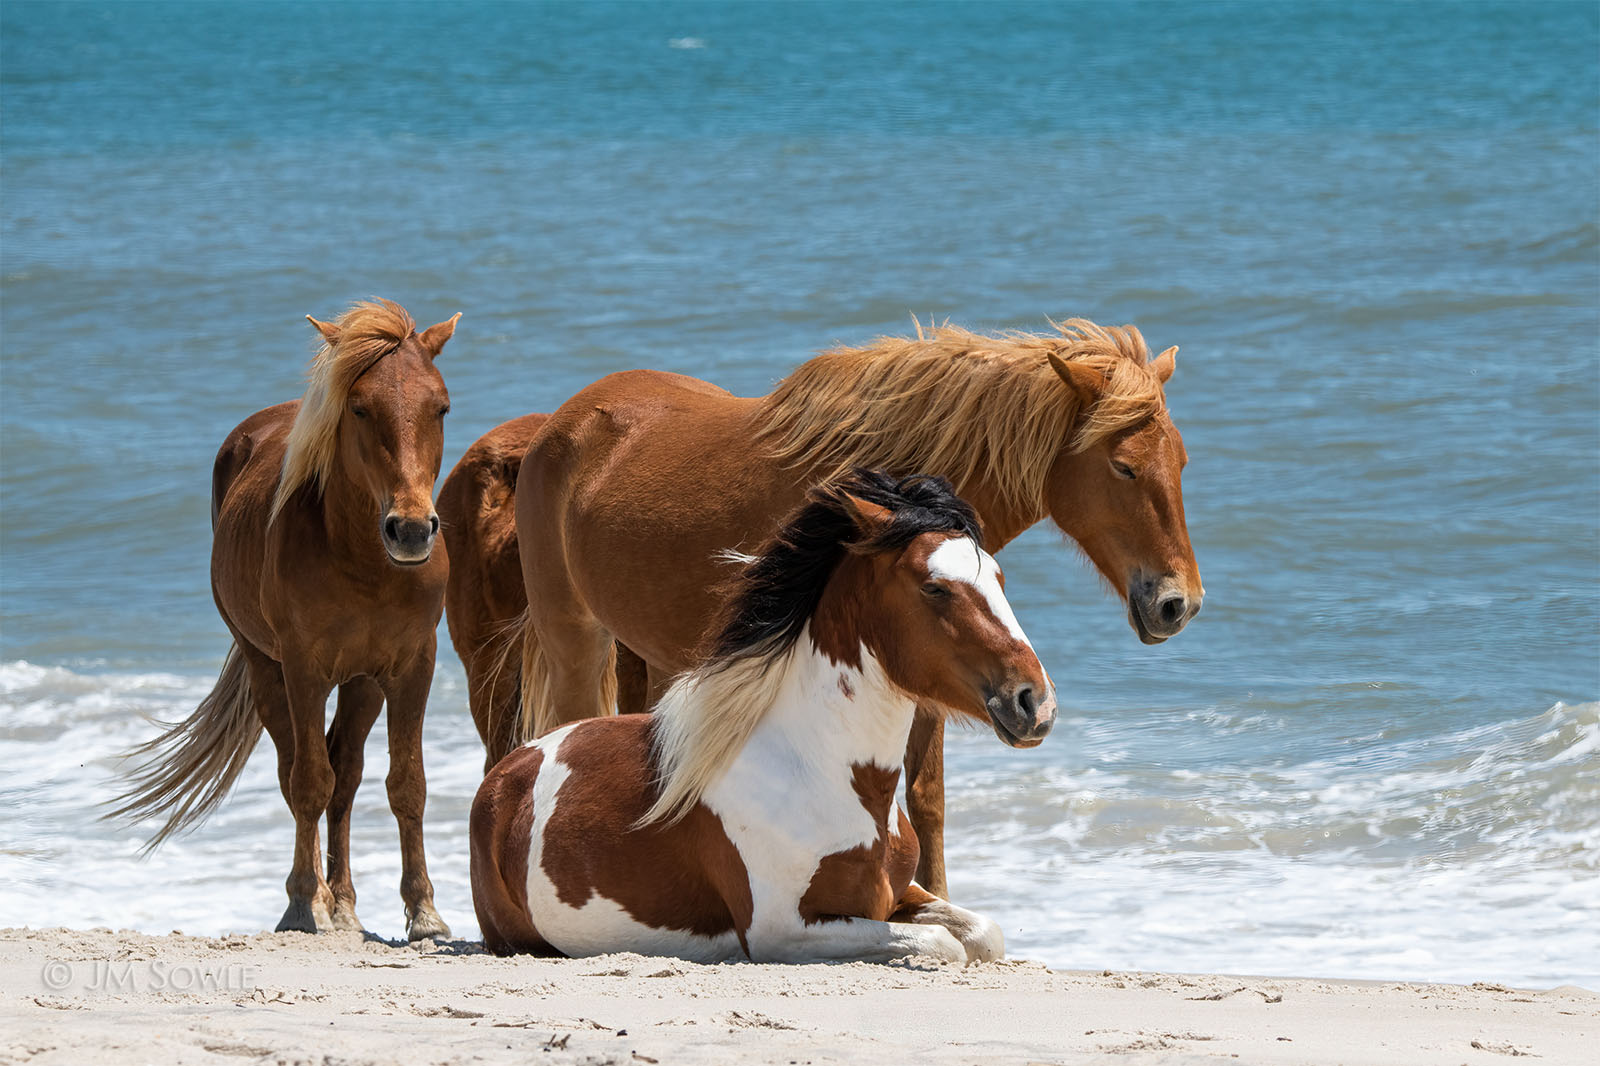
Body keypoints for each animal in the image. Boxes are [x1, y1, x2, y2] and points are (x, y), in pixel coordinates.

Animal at [110, 299, 460, 940]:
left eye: (441, 406)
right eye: (359, 407)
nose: (411, 530)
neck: (364, 561)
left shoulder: (412, 667)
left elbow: (407, 785)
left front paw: (424, 912)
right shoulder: (304, 669)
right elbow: (308, 781)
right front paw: (301, 904)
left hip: (362, 683)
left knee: (346, 773)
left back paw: (343, 902)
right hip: (267, 669)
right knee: (297, 771)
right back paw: (319, 898)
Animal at [471, 470, 1054, 963]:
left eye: (999, 578)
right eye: (934, 587)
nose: (1035, 703)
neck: (822, 774)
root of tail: (507, 773)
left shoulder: (899, 893)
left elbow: (983, 934)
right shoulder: (781, 930)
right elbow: (942, 944)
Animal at [498, 317, 1201, 898]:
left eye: (1182, 460)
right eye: (1123, 467)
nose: (1178, 603)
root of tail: (560, 424)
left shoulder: (929, 668)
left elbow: (927, 796)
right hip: (574, 639)